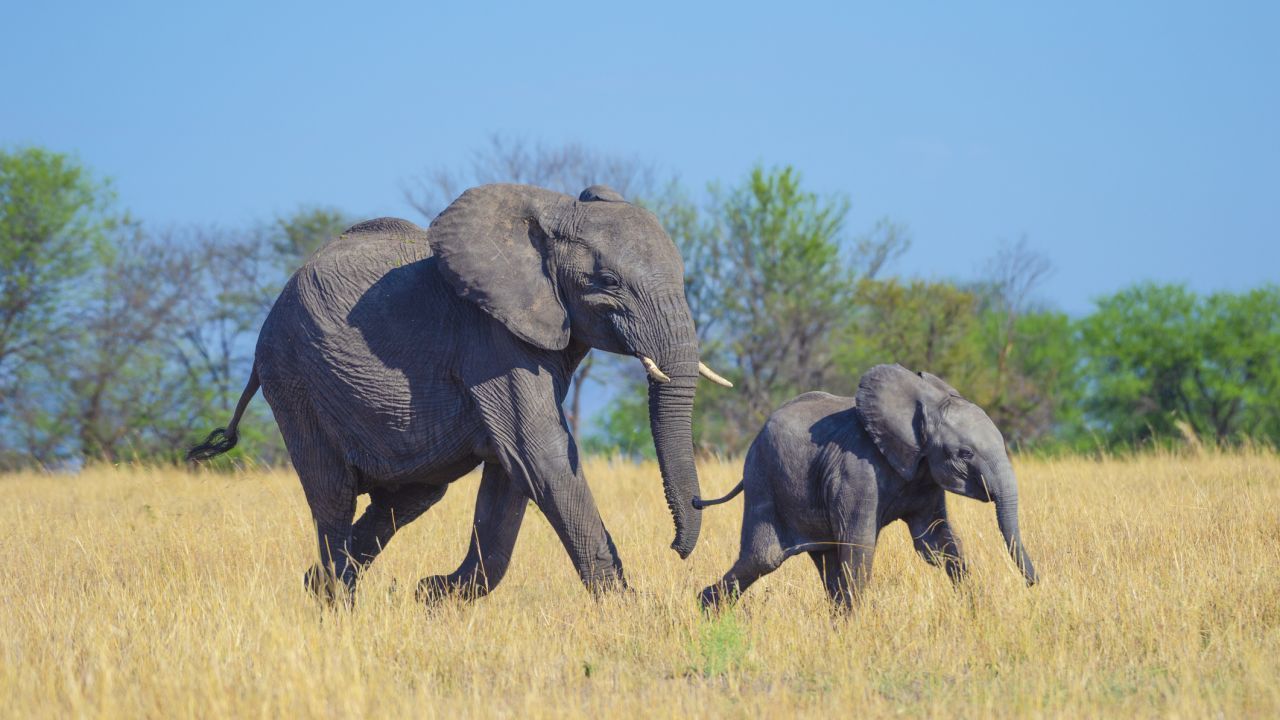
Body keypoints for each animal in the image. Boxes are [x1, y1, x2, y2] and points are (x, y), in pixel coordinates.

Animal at [186, 181, 737, 597]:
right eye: (607, 282)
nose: (676, 548)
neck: (551, 211)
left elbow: (510, 475)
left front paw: (432, 595)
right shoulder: (490, 337)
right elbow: (540, 456)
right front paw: (625, 608)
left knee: (407, 497)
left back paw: (317, 585)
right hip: (293, 378)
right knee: (333, 495)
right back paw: (335, 603)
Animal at [696, 361, 1034, 607]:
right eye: (965, 453)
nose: (1034, 583)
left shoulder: (925, 476)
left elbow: (935, 543)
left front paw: (977, 608)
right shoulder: (857, 470)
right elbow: (859, 544)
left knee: (823, 562)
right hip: (764, 478)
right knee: (763, 557)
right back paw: (706, 609)